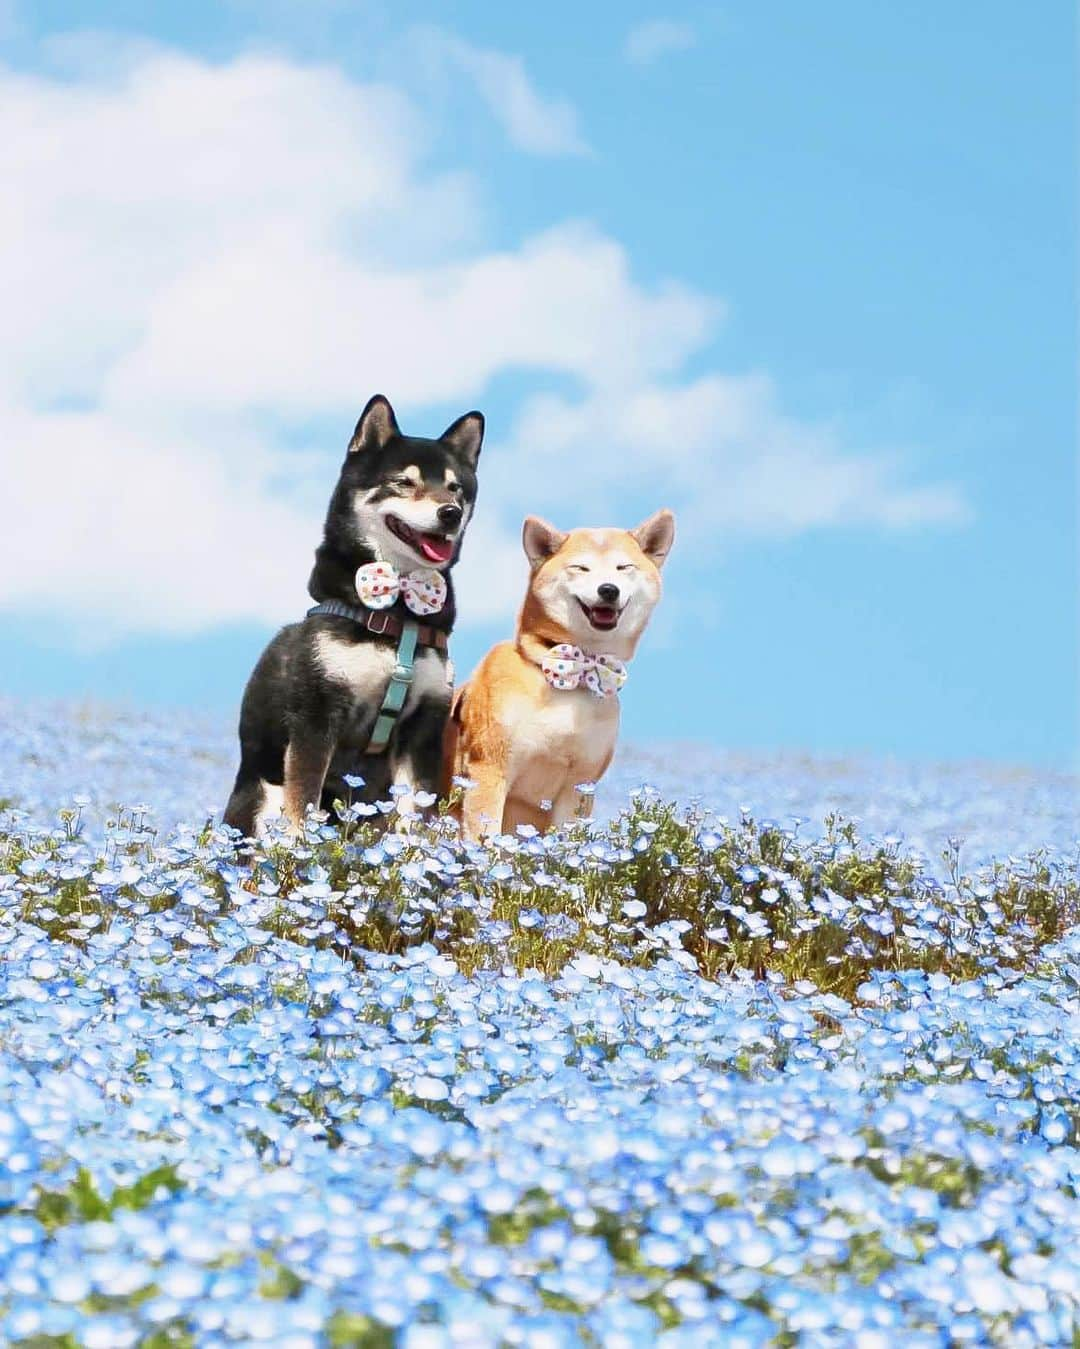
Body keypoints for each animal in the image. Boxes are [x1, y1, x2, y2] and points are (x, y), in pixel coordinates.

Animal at [221, 391, 482, 836]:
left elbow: (417, 815)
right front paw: (302, 848)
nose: (450, 512)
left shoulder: (423, 726)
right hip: (263, 796)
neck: (399, 613)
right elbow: (302, 807)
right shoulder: (316, 717)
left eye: (455, 488)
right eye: (404, 482)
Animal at [442, 509, 668, 836]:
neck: (570, 680)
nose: (608, 590)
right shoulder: (489, 770)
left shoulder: (579, 786)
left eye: (624, 567)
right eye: (581, 568)